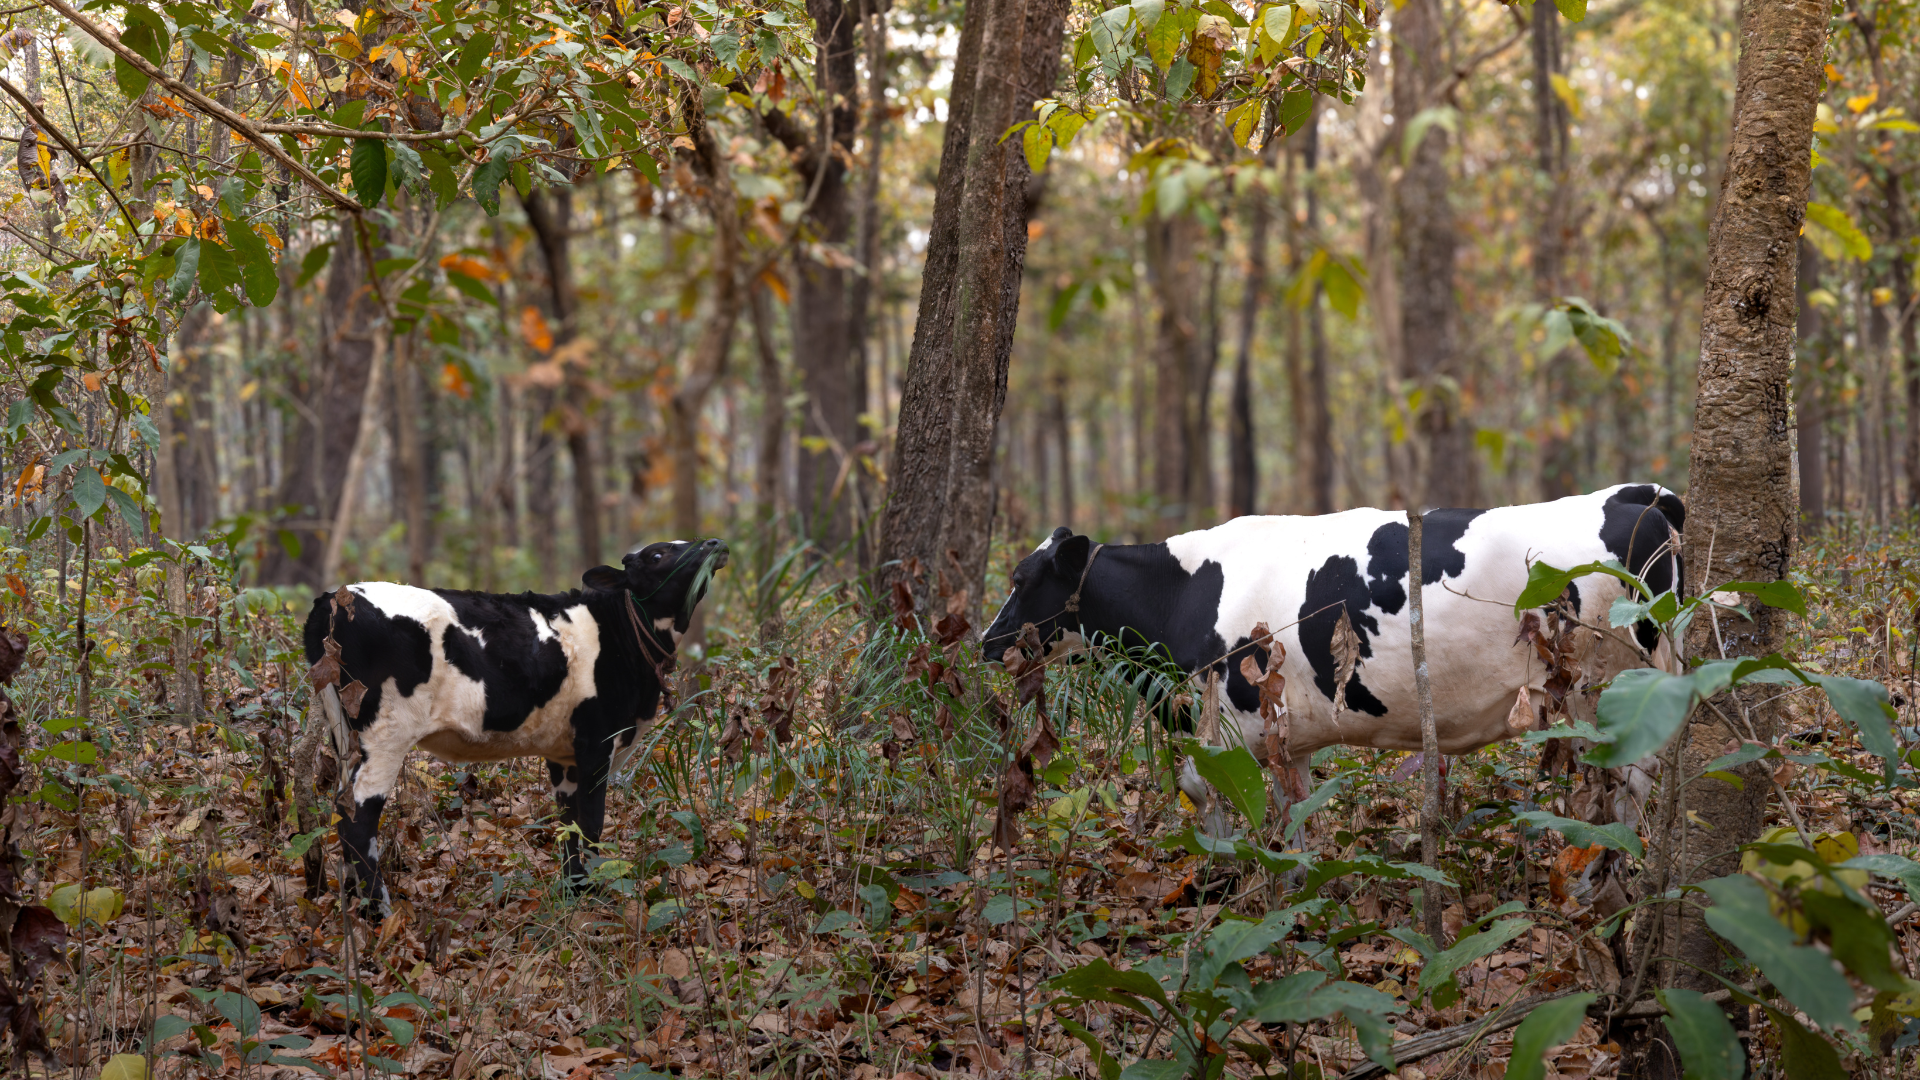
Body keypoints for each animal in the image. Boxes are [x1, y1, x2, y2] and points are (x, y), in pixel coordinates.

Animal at [302, 538, 728, 915]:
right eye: (657, 554)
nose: (715, 544)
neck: (618, 634)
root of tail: (334, 597)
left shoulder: (565, 753)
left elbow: (569, 824)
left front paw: (574, 892)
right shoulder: (597, 742)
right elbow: (591, 823)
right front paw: (596, 897)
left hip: (344, 734)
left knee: (341, 807)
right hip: (386, 732)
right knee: (358, 816)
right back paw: (380, 912)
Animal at [981, 484, 1684, 834]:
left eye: (1020, 578)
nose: (987, 641)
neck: (1184, 596)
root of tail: (1635, 497)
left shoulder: (1230, 721)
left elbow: (1205, 793)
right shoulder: (1288, 731)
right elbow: (1293, 807)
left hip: (1608, 688)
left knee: (1632, 778)